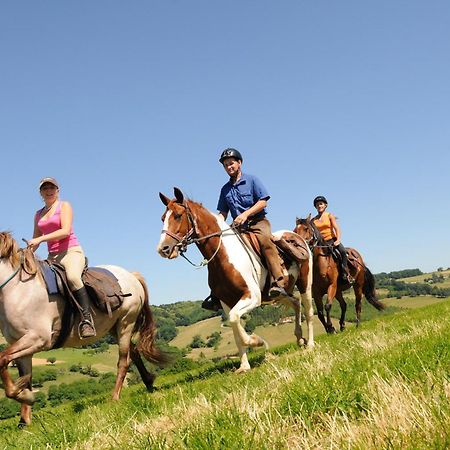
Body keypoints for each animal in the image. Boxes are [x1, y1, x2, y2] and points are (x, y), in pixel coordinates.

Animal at [0, 232, 167, 426]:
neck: (18, 289)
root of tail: (131, 275)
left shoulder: (38, 339)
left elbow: (2, 359)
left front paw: (25, 397)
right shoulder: (21, 345)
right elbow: (24, 376)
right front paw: (24, 418)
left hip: (126, 323)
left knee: (124, 361)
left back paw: (115, 397)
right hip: (114, 327)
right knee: (134, 353)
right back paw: (149, 383)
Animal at [156, 188, 314, 374]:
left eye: (178, 215)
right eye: (162, 218)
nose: (163, 249)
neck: (225, 255)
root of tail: (297, 236)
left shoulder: (252, 297)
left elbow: (235, 321)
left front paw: (257, 341)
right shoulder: (226, 303)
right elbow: (235, 330)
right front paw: (244, 366)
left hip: (305, 284)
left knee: (308, 311)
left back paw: (310, 344)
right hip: (280, 294)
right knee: (295, 302)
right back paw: (299, 338)